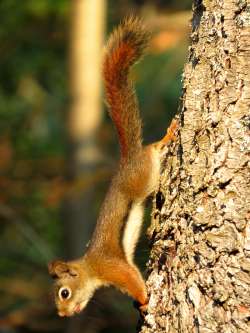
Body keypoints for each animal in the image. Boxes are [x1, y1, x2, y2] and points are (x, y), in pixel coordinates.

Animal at [48, 16, 178, 316]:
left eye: (64, 293)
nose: (63, 315)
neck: (91, 269)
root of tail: (127, 159)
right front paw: (139, 303)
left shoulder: (113, 267)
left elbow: (133, 279)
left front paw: (144, 300)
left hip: (144, 175)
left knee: (152, 149)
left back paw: (167, 136)